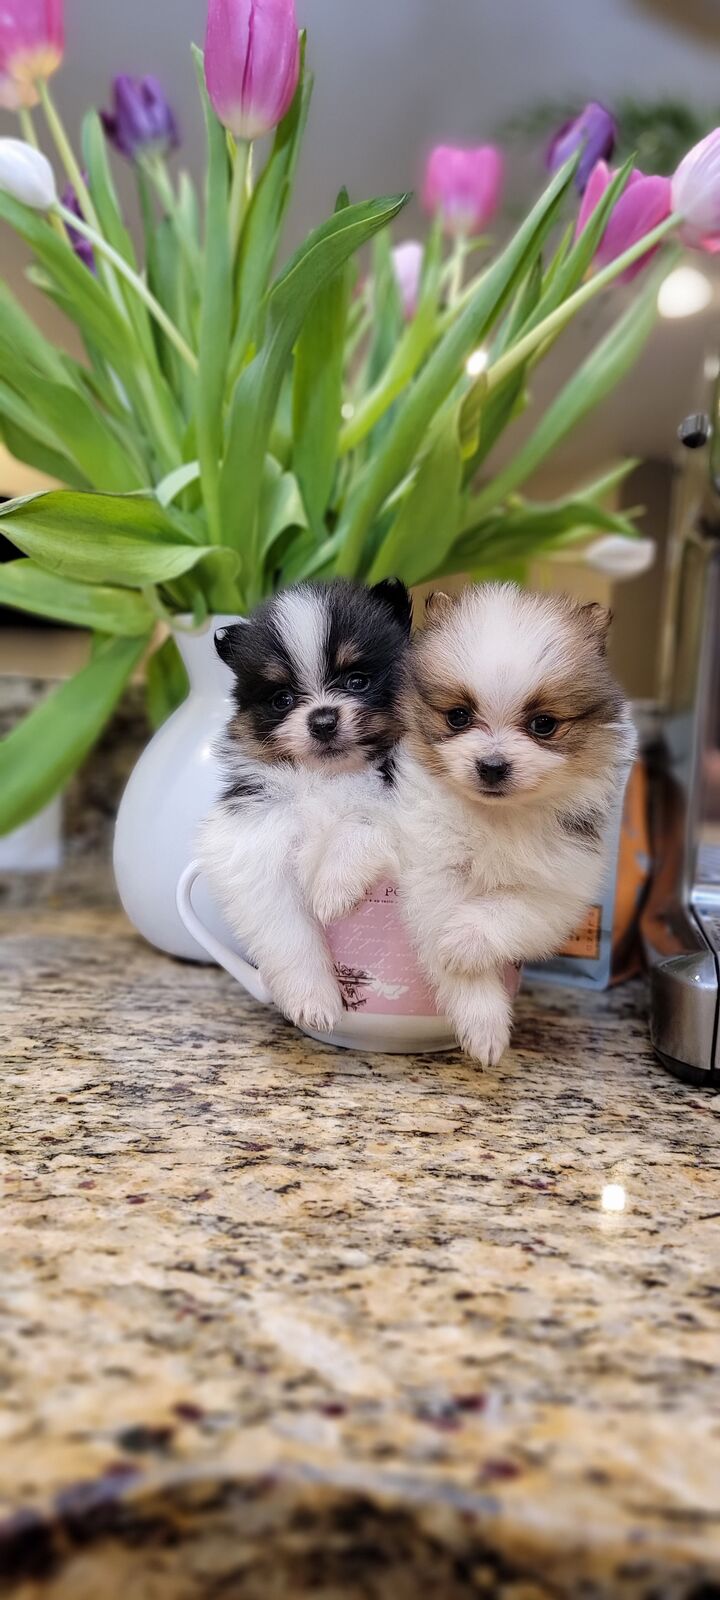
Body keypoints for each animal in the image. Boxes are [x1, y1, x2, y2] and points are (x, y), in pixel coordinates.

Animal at [200, 578, 411, 1033]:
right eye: (281, 699)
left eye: (357, 680)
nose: (323, 720)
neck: (328, 777)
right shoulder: (254, 841)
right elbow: (287, 929)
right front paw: (312, 1002)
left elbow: (364, 818)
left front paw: (331, 888)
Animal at [393, 583, 636, 1066]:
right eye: (458, 716)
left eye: (543, 724)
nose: (492, 766)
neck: (497, 818)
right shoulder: (434, 868)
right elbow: (441, 927)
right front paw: (482, 1018)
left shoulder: (562, 885)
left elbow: (510, 908)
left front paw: (463, 941)